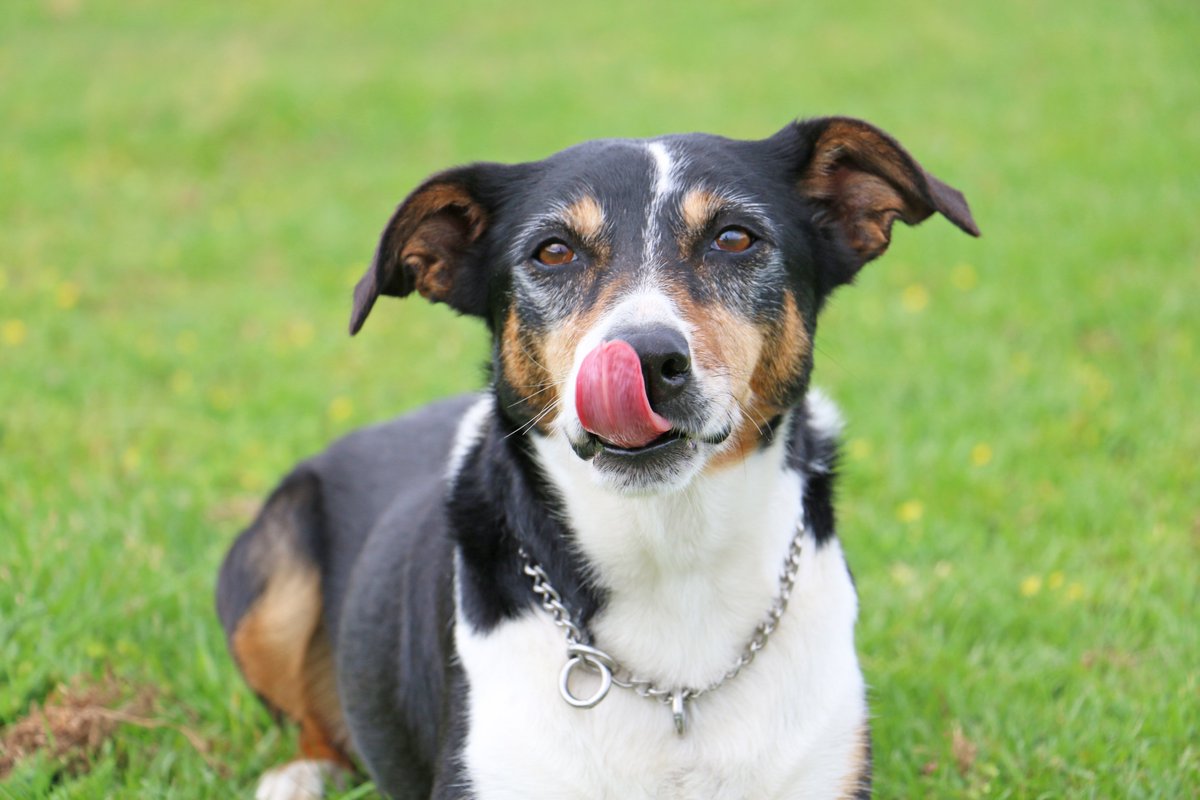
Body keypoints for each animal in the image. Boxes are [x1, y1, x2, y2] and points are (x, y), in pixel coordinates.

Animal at [216, 115, 978, 799]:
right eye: (553, 252)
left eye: (735, 238)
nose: (646, 359)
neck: (673, 558)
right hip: (269, 582)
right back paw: (297, 776)